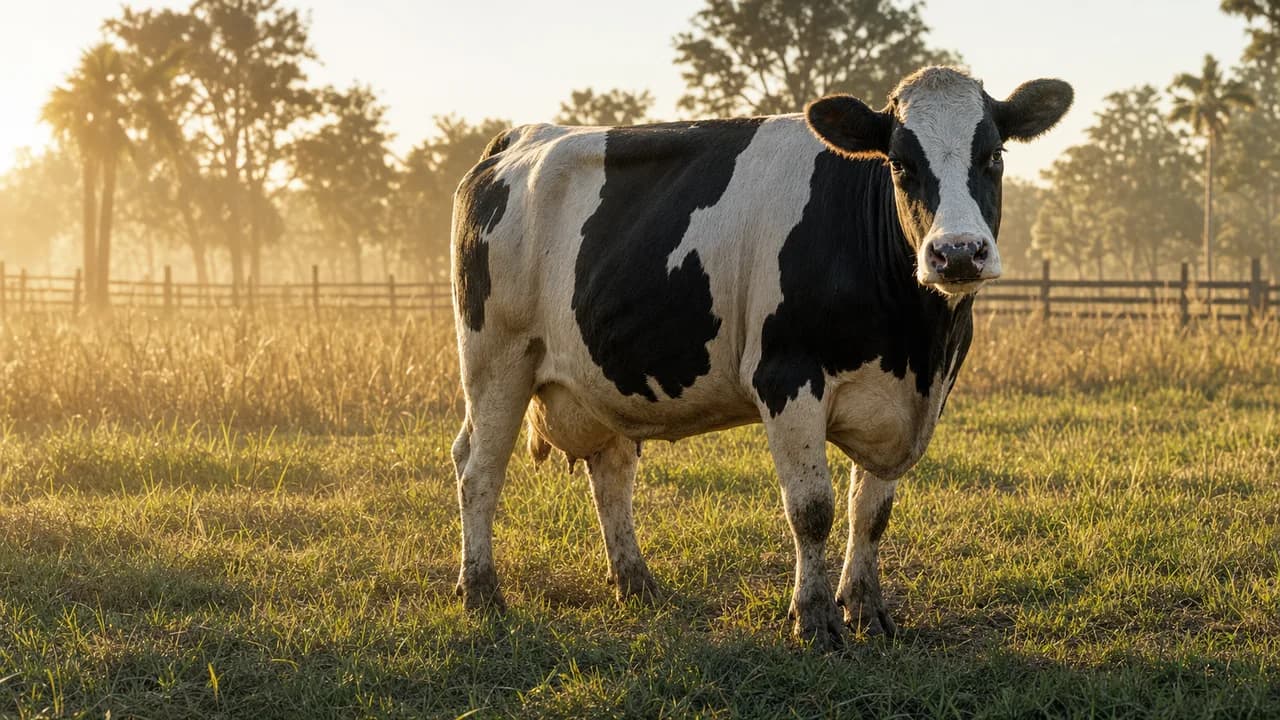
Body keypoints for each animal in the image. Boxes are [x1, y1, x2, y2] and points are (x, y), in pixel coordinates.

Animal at [450, 66, 1072, 649]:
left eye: (993, 155)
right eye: (899, 164)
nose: (958, 252)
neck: (917, 344)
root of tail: (521, 136)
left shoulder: (901, 403)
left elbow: (870, 513)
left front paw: (867, 610)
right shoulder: (787, 377)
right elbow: (813, 509)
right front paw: (814, 619)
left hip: (600, 380)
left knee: (611, 474)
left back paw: (636, 583)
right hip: (496, 359)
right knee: (478, 468)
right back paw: (481, 591)